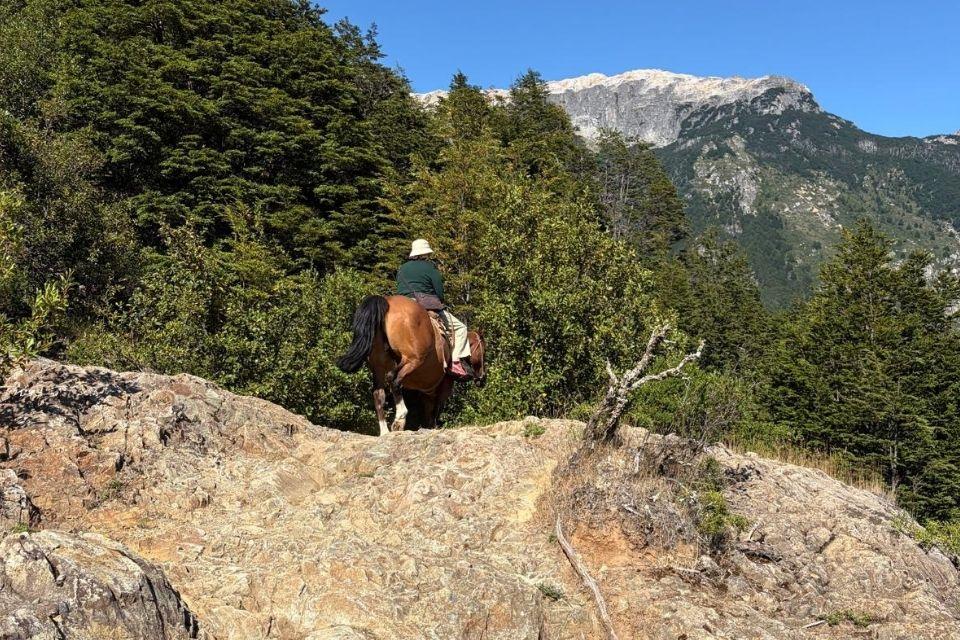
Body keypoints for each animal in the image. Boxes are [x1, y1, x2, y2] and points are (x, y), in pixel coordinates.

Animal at [336, 295, 486, 435]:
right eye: (484, 350)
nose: (482, 378)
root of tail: (387, 301)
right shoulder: (444, 385)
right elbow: (435, 410)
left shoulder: (428, 391)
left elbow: (428, 411)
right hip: (412, 361)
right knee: (393, 379)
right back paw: (399, 419)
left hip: (378, 366)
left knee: (378, 393)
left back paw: (385, 432)